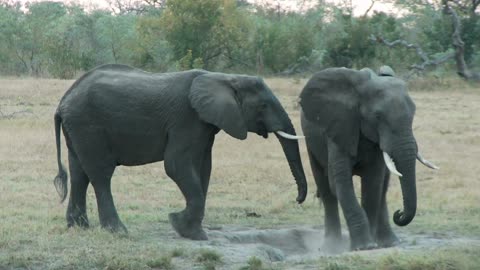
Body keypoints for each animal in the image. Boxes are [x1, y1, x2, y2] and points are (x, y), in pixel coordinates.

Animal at [52, 63, 308, 240]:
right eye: (263, 106)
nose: (297, 200)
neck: (222, 77)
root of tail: (63, 101)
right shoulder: (186, 119)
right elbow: (176, 165)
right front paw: (183, 227)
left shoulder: (205, 125)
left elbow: (203, 169)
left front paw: (190, 230)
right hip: (89, 125)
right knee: (101, 174)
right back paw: (118, 231)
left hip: (78, 128)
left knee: (79, 172)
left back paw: (79, 227)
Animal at [300, 66, 438, 250]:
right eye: (378, 117)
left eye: (413, 114)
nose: (399, 213)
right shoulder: (340, 128)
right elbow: (340, 182)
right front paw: (364, 247)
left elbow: (373, 183)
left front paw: (370, 244)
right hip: (311, 140)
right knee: (325, 188)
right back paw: (331, 247)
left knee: (383, 188)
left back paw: (390, 242)